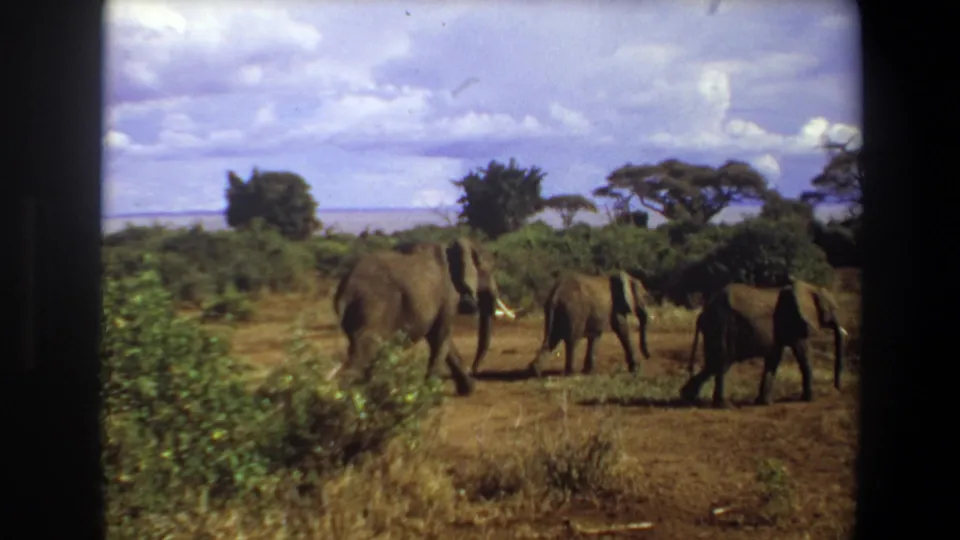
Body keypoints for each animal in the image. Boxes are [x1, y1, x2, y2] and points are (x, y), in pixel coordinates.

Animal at [332, 237, 516, 396]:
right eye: (489, 271)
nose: (474, 370)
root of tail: (345, 288)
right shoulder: (448, 294)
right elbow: (441, 337)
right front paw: (430, 393)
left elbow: (441, 340)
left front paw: (468, 389)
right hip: (373, 305)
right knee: (365, 350)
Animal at [680, 278, 848, 408]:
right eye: (832, 309)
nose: (837, 389)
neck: (810, 287)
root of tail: (703, 313)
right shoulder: (793, 321)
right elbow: (802, 353)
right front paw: (810, 400)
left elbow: (774, 359)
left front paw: (764, 403)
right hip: (723, 326)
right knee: (722, 362)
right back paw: (724, 406)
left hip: (715, 330)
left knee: (713, 363)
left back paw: (688, 398)